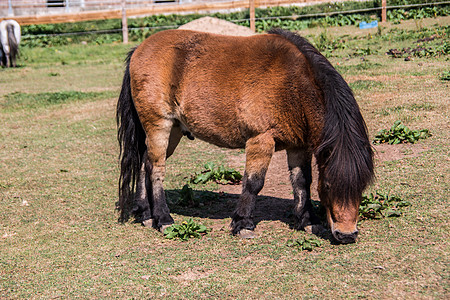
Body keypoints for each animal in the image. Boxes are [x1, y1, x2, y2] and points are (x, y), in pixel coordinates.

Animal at [116, 28, 372, 244]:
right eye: (328, 185)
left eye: (362, 187)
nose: (347, 234)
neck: (292, 82)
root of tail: (139, 49)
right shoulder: (261, 139)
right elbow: (253, 183)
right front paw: (243, 224)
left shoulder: (298, 146)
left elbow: (302, 182)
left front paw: (308, 221)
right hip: (159, 125)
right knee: (156, 170)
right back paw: (163, 219)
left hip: (174, 131)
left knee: (145, 164)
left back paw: (145, 214)